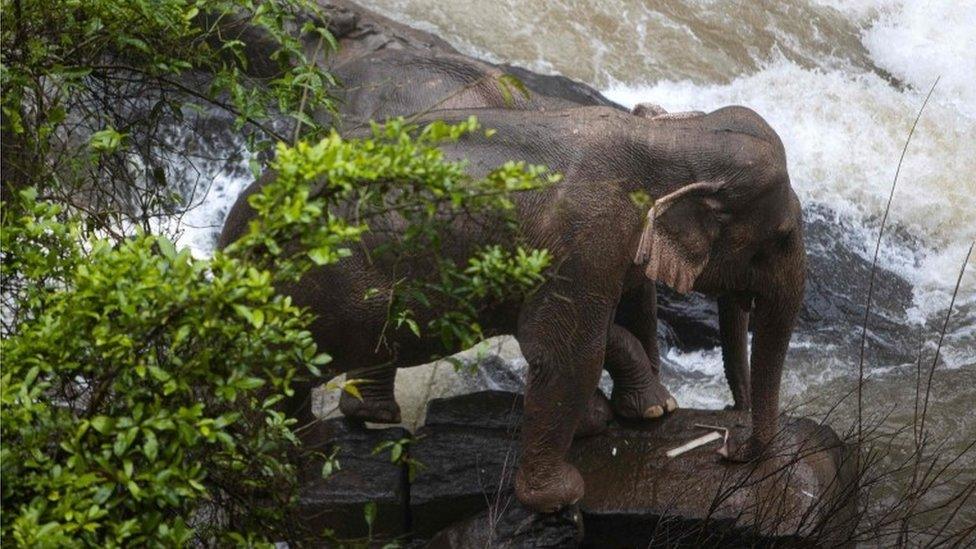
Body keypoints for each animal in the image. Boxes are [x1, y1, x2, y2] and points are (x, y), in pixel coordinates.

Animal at [221, 104, 808, 512]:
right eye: (781, 237)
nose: (728, 446)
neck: (670, 138)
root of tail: (233, 232)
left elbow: (597, 327)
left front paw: (635, 413)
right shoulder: (585, 237)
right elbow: (564, 351)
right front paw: (561, 496)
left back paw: (354, 425)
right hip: (324, 288)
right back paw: (301, 454)